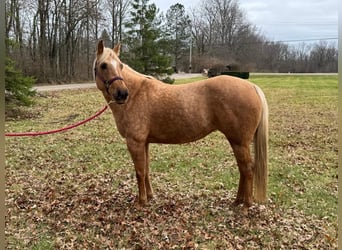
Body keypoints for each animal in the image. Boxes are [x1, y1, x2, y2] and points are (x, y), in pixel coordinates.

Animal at [94, 40, 270, 209]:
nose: (122, 94)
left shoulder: (134, 142)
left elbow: (139, 172)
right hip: (236, 141)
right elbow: (146, 170)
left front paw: (141, 202)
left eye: (120, 65)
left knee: (247, 169)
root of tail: (252, 86)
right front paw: (150, 197)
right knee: (242, 169)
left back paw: (246, 205)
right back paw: (237, 202)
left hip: (239, 142)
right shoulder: (144, 142)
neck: (137, 93)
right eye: (104, 65)